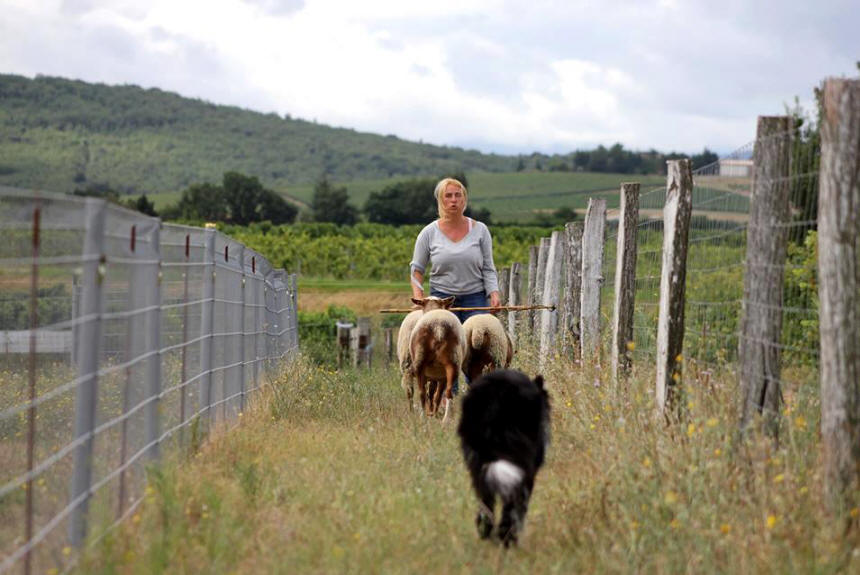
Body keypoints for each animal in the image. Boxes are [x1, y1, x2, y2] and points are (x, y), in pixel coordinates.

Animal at [408, 296, 466, 424]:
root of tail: (438, 326)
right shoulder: (439, 376)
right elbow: (435, 395)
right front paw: (432, 414)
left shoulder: (434, 376)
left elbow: (432, 394)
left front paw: (431, 414)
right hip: (452, 363)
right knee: (447, 393)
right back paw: (445, 420)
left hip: (420, 362)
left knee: (423, 393)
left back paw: (425, 418)